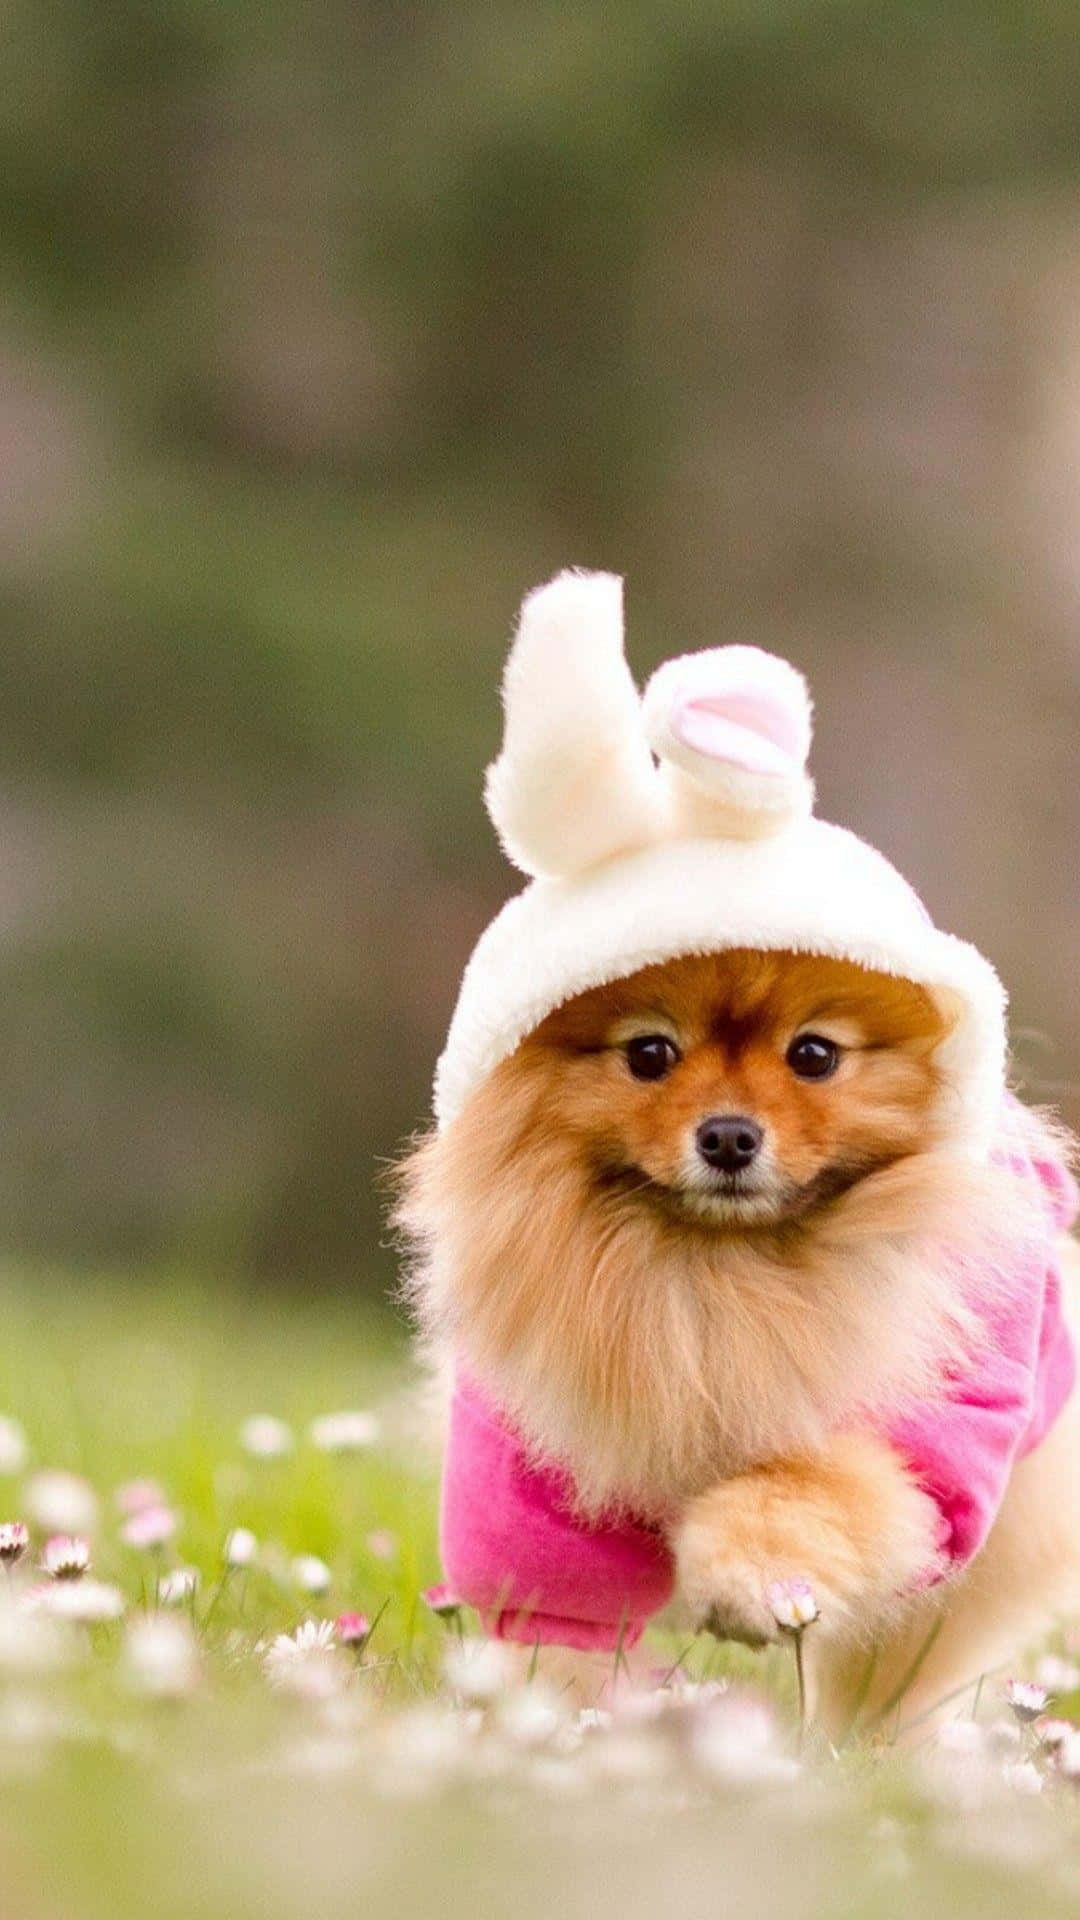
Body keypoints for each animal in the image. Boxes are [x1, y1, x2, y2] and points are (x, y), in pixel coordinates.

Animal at [397, 572, 1076, 1743]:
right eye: (649, 1054)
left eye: (815, 1056)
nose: (726, 1136)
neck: (709, 1282)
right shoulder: (533, 1474)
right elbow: (557, 1630)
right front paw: (548, 1734)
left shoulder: (927, 1451)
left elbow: (819, 1490)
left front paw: (755, 1579)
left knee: (896, 1670)